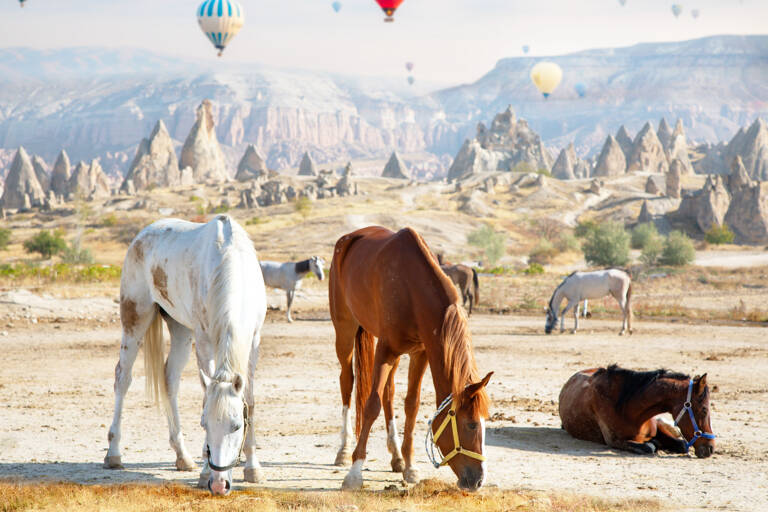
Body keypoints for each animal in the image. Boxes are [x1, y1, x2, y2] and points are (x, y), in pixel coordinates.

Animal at [104, 215, 267, 495]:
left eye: (236, 426)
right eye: (204, 425)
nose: (219, 485)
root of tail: (142, 235)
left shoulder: (254, 342)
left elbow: (250, 401)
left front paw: (252, 467)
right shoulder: (203, 341)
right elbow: (205, 397)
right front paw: (204, 473)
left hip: (180, 330)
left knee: (169, 379)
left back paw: (182, 456)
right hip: (135, 317)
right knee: (122, 378)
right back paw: (113, 454)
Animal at [330, 226, 492, 491]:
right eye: (471, 424)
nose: (477, 480)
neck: (412, 288)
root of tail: (350, 237)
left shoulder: (420, 352)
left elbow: (410, 405)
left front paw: (409, 466)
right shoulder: (385, 349)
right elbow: (371, 405)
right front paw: (355, 472)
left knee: (388, 393)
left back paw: (395, 456)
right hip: (344, 330)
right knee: (347, 382)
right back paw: (343, 451)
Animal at [558, 365, 715, 458]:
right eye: (704, 409)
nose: (710, 448)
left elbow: (682, 444)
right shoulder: (615, 441)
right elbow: (649, 447)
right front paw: (655, 444)